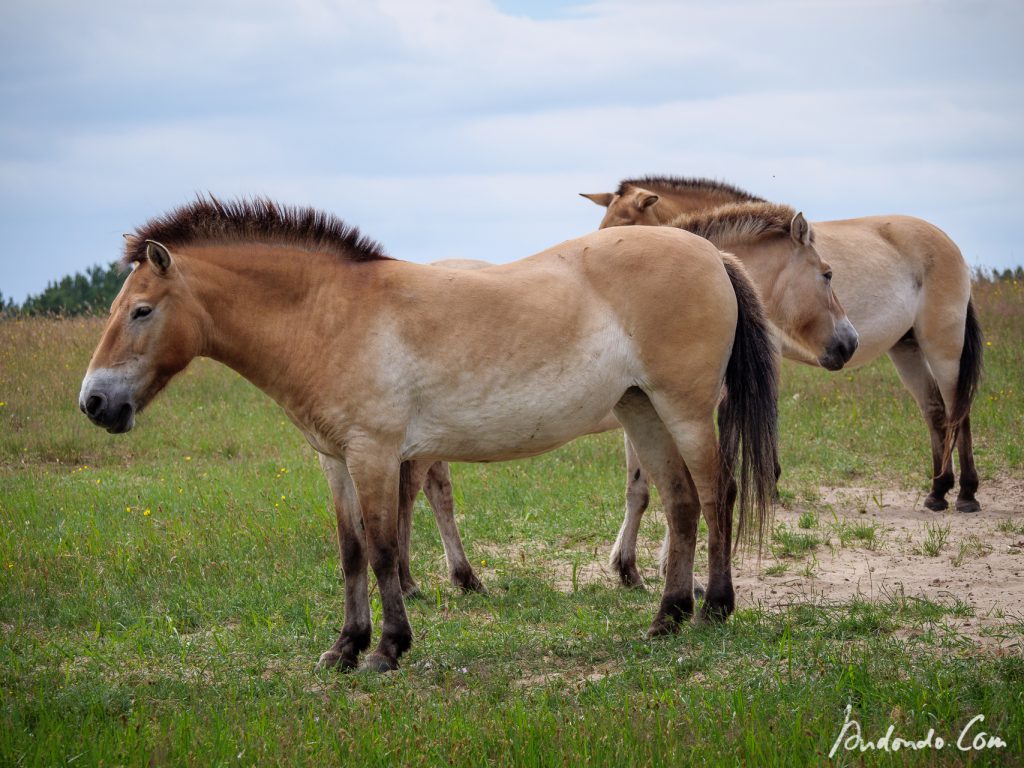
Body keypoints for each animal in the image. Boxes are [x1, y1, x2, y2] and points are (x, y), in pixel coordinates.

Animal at [81, 198, 782, 671]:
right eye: (115, 308)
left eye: (141, 310)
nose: (94, 402)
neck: (328, 315)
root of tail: (711, 254)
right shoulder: (334, 460)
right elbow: (351, 551)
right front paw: (344, 647)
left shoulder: (374, 453)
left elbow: (384, 548)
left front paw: (388, 648)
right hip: (642, 412)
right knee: (680, 503)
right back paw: (667, 618)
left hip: (683, 410)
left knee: (717, 495)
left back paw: (714, 608)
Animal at [589, 177, 987, 585]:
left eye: (624, 225)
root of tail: (947, 242)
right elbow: (645, 484)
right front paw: (632, 566)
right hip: (906, 348)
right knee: (936, 411)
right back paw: (938, 490)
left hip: (943, 346)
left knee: (959, 412)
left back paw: (966, 494)